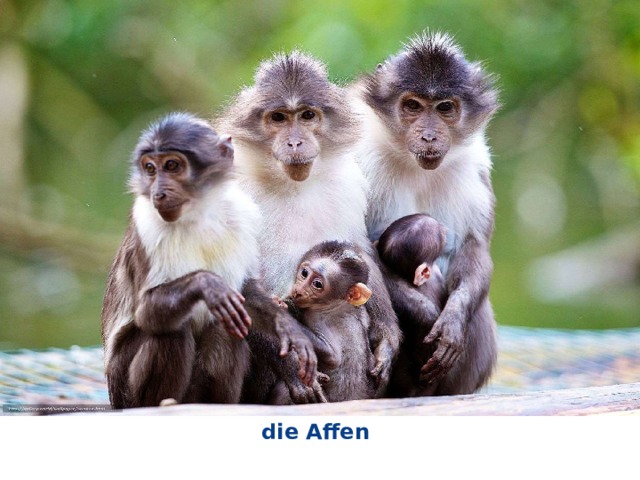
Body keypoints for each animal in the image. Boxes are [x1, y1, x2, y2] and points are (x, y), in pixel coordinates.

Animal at [101, 112, 320, 409]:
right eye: (150, 169)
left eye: (172, 165)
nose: (158, 192)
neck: (198, 213)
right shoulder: (147, 225)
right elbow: (146, 311)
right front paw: (207, 284)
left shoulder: (244, 212)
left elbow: (247, 292)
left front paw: (288, 328)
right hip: (124, 390)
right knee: (172, 330)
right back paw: (164, 403)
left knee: (227, 325)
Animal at [273, 241, 378, 402]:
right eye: (304, 273)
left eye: (317, 284)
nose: (299, 291)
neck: (337, 306)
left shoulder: (319, 318)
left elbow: (332, 356)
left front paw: (283, 309)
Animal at [352, 31, 499, 395]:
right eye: (413, 106)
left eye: (445, 107)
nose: (429, 135)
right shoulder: (361, 153)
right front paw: (425, 314)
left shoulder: (475, 162)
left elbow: (475, 246)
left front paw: (453, 318)